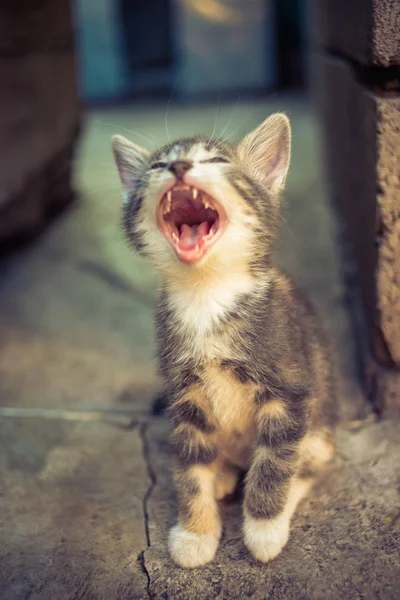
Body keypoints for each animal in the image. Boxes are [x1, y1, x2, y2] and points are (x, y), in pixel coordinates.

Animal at [112, 115, 338, 568]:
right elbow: (189, 471)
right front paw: (196, 532)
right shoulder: (184, 399)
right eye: (157, 166)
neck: (206, 297)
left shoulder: (290, 392)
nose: (179, 167)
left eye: (216, 160)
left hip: (322, 426)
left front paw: (264, 528)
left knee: (306, 464)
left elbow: (275, 463)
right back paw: (221, 475)